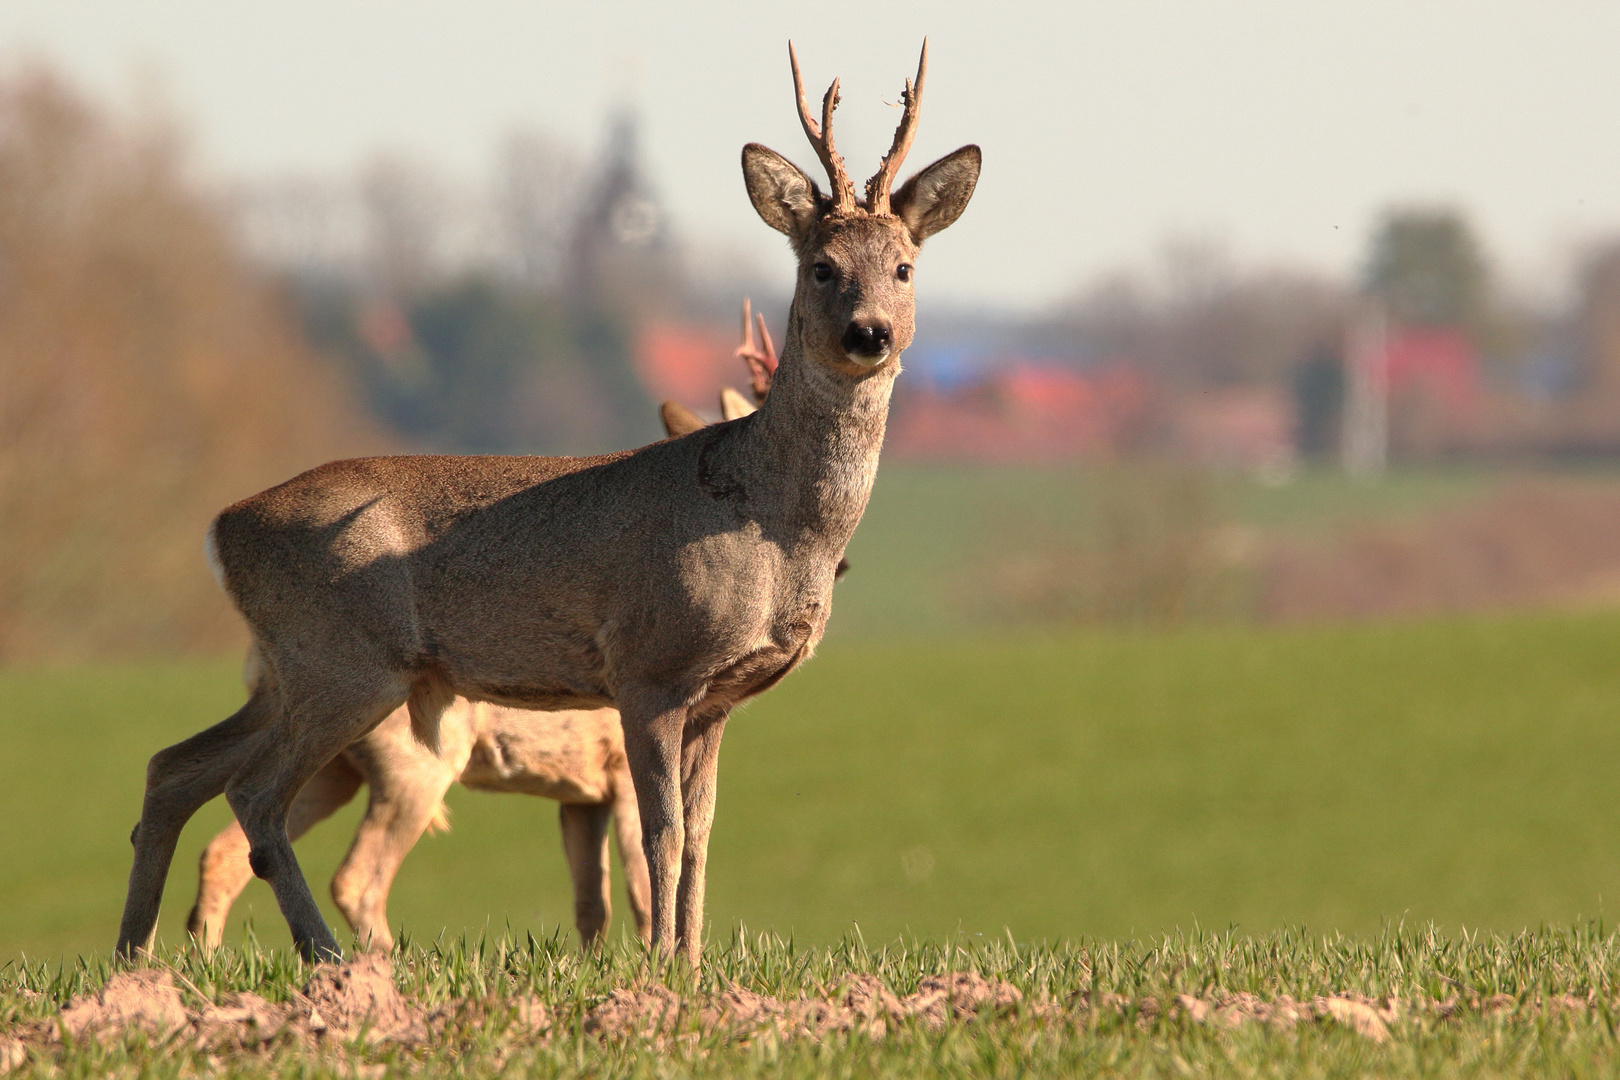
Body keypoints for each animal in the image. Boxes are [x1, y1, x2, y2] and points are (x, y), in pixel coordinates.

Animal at [117, 40, 972, 965]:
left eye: (904, 267)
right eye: (821, 266)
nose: (869, 333)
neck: (773, 526)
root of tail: (221, 527)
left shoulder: (717, 700)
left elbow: (703, 836)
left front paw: (694, 964)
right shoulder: (650, 668)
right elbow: (665, 836)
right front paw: (660, 965)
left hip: (290, 672)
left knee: (174, 768)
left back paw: (136, 958)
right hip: (344, 662)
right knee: (253, 795)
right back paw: (325, 958)